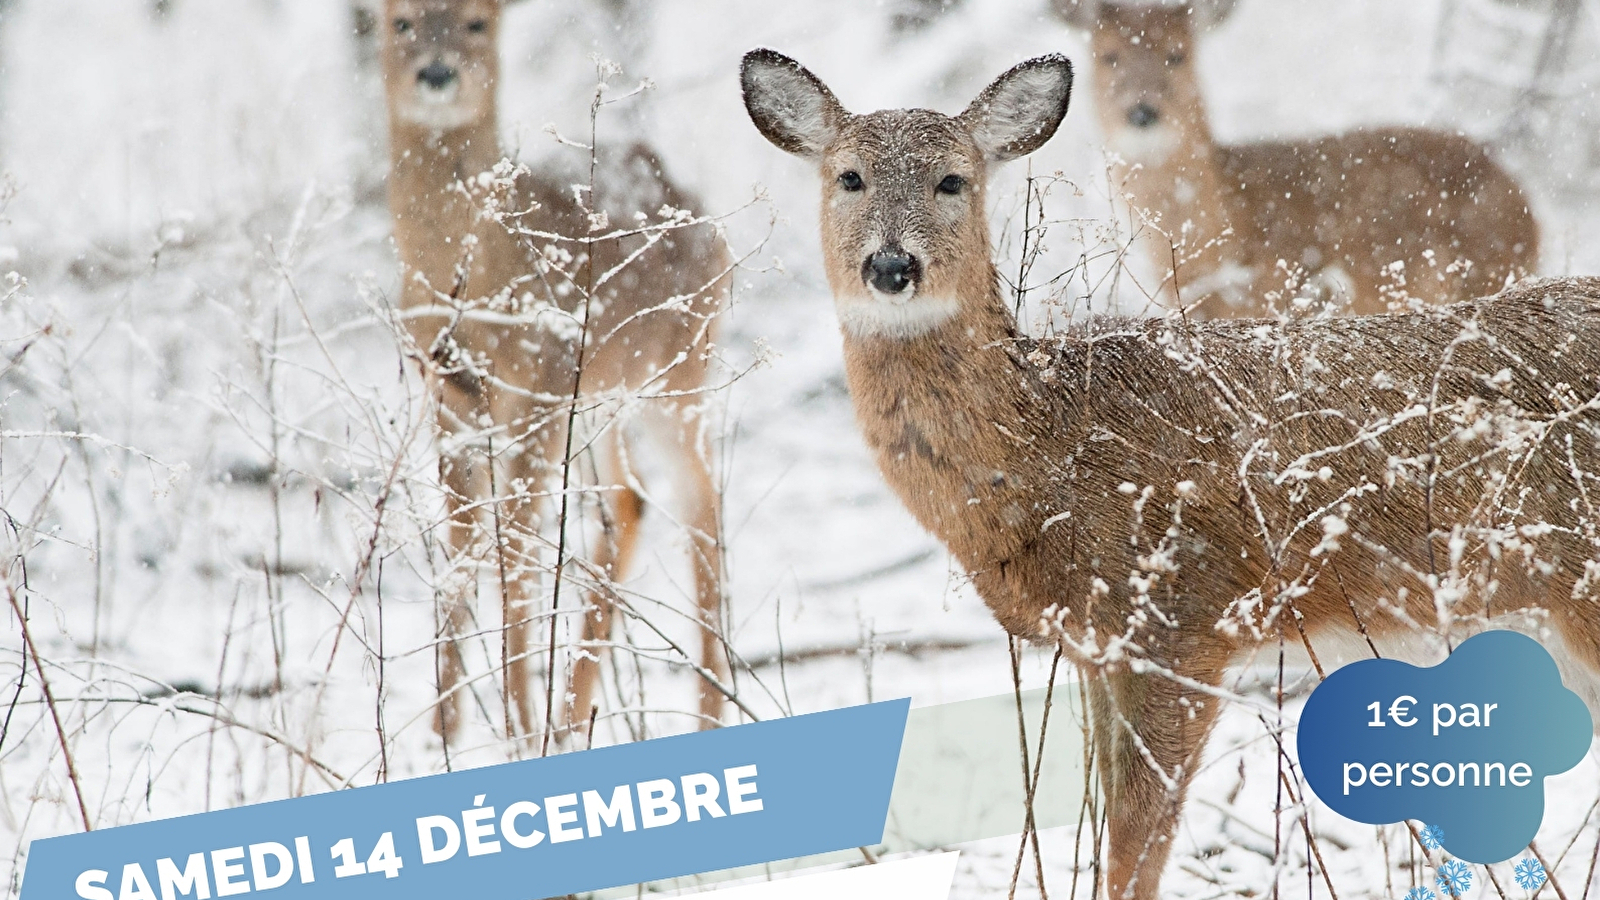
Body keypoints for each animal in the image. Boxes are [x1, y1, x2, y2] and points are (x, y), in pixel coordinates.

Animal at [384, 0, 732, 743]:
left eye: (477, 22)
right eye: (400, 21)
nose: (437, 72)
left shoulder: (540, 389)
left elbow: (515, 554)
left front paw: (517, 726)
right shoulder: (448, 398)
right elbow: (462, 550)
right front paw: (446, 733)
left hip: (680, 373)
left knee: (701, 505)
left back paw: (706, 713)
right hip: (602, 398)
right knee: (630, 501)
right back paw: (574, 711)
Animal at [742, 47, 1600, 896]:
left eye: (953, 179)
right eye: (848, 176)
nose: (892, 266)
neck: (1047, 446)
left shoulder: (1184, 618)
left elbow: (1134, 849)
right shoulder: (1098, 649)